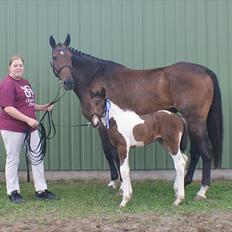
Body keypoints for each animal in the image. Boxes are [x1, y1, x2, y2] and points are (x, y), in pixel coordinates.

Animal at [49, 34, 223, 199]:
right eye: (55, 57)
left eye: (70, 57)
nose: (68, 82)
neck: (94, 77)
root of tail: (204, 70)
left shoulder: (103, 125)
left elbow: (110, 152)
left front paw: (117, 184)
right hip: (192, 121)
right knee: (195, 152)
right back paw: (185, 182)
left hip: (195, 121)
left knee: (206, 151)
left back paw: (202, 191)